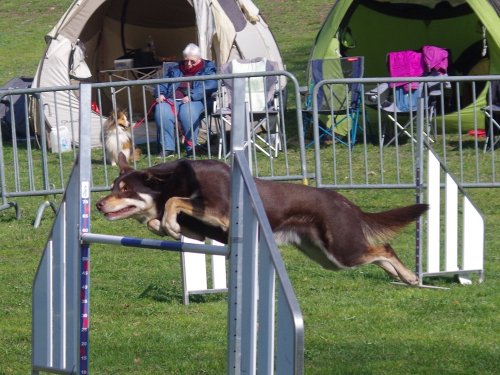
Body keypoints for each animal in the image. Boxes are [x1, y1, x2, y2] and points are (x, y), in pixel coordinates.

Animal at [95, 154, 428, 286]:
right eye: (112, 187)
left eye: (125, 190)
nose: (98, 204)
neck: (176, 178)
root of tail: (346, 202)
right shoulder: (201, 232)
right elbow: (162, 219)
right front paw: (168, 227)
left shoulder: (221, 213)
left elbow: (175, 202)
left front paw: (169, 222)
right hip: (328, 257)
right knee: (378, 254)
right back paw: (404, 278)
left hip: (342, 250)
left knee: (384, 248)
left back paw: (410, 276)